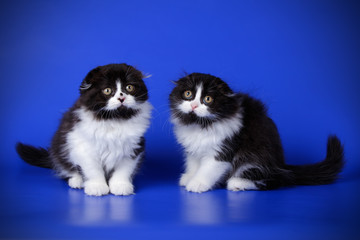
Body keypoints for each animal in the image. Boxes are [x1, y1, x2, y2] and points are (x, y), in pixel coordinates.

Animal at [16, 64, 152, 197]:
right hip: (60, 149)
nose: (121, 98)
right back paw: (77, 181)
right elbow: (93, 170)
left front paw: (121, 186)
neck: (114, 119)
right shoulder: (83, 147)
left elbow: (124, 169)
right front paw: (97, 187)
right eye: (107, 90)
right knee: (67, 169)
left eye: (129, 87)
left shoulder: (133, 147)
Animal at [170, 72, 344, 193]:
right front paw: (189, 177)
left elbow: (208, 169)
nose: (193, 106)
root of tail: (281, 164)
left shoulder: (222, 150)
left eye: (207, 99)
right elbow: (193, 164)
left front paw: (197, 183)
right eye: (188, 94)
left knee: (272, 180)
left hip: (255, 157)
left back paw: (238, 183)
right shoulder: (193, 150)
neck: (200, 124)